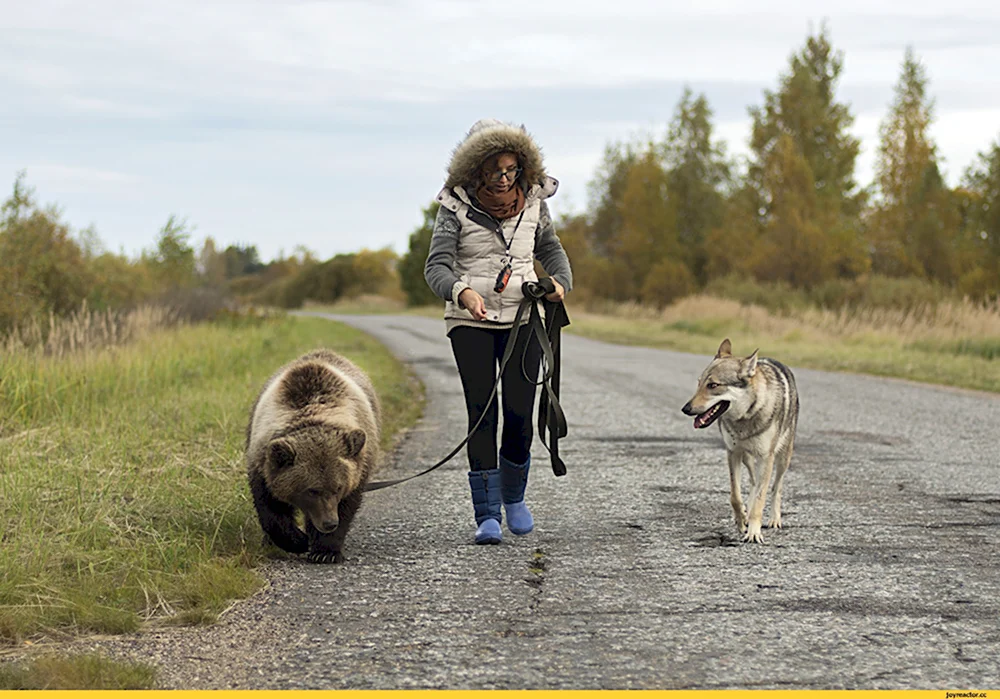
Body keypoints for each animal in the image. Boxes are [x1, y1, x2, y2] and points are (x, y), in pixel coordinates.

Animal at [244, 350, 380, 564]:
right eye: (312, 490)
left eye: (338, 487)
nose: (329, 523)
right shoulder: (262, 462)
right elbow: (270, 508)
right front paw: (299, 541)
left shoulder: (359, 466)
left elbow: (347, 505)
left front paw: (325, 551)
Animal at [680, 342, 796, 544]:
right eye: (699, 383)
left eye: (713, 385)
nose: (686, 409)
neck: (746, 417)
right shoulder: (732, 452)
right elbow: (735, 495)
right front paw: (742, 520)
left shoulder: (766, 458)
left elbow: (761, 499)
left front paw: (754, 533)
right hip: (747, 458)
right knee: (753, 482)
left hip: (782, 458)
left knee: (776, 487)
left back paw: (774, 519)